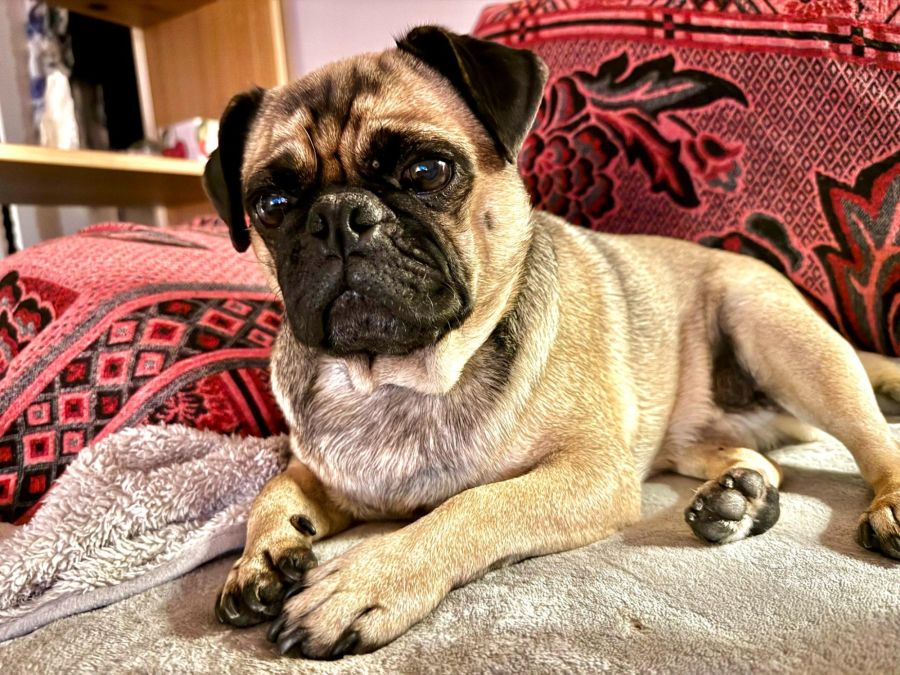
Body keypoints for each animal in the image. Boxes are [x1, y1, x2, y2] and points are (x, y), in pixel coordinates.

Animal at [202, 25, 900, 659]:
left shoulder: (591, 471)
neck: (399, 378)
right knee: (760, 459)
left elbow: (473, 506)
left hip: (780, 337)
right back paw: (741, 496)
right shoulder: (325, 476)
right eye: (272, 204)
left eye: (427, 171)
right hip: (688, 433)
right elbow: (274, 491)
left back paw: (880, 506)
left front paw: (368, 580)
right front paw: (259, 557)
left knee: (876, 442)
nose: (338, 216)